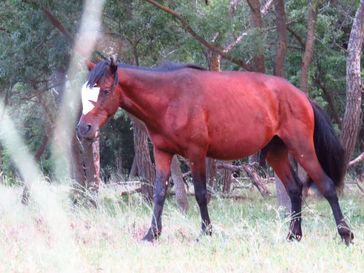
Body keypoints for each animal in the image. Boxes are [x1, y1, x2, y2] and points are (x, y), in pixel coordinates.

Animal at [77, 58, 352, 244]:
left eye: (104, 90)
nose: (83, 128)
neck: (170, 97)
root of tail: (301, 97)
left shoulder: (196, 154)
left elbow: (200, 194)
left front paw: (206, 232)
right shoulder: (162, 153)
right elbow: (159, 194)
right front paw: (151, 234)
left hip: (302, 148)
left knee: (327, 186)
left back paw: (345, 235)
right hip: (277, 152)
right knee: (295, 189)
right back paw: (293, 236)